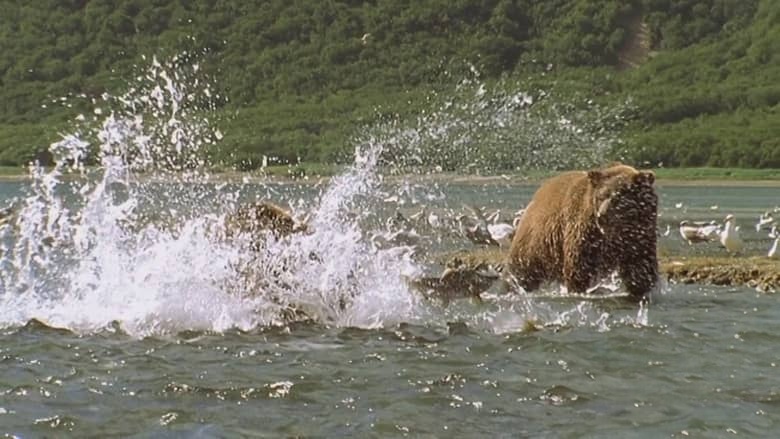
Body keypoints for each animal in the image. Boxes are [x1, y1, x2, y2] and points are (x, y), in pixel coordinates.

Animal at [507, 163, 658, 301]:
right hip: (534, 245)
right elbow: (579, 265)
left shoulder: (640, 234)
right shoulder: (584, 230)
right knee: (521, 271)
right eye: (601, 196)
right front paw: (578, 289)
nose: (602, 215)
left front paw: (640, 288)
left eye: (618, 196)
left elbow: (640, 264)